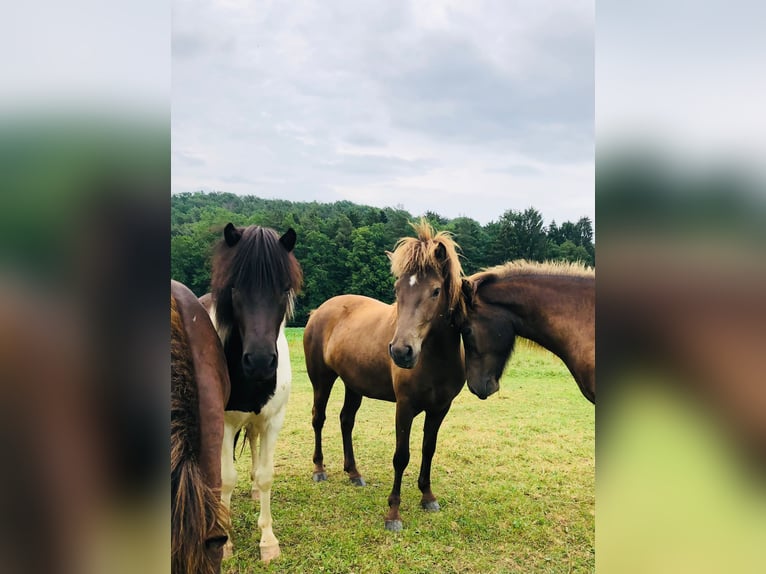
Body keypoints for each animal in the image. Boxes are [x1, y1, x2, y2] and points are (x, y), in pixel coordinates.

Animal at [201, 225, 304, 568]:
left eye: (283, 289)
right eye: (235, 288)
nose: (260, 362)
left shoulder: (273, 421)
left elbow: (265, 475)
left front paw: (268, 541)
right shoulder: (224, 424)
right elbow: (226, 478)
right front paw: (226, 542)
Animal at [306, 219, 468, 532]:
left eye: (435, 291)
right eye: (397, 289)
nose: (402, 351)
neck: (436, 357)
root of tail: (319, 310)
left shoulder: (440, 409)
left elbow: (428, 449)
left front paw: (427, 496)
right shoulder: (404, 407)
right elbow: (401, 456)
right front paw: (393, 513)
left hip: (353, 385)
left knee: (346, 420)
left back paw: (353, 473)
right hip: (322, 380)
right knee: (319, 418)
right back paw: (319, 469)